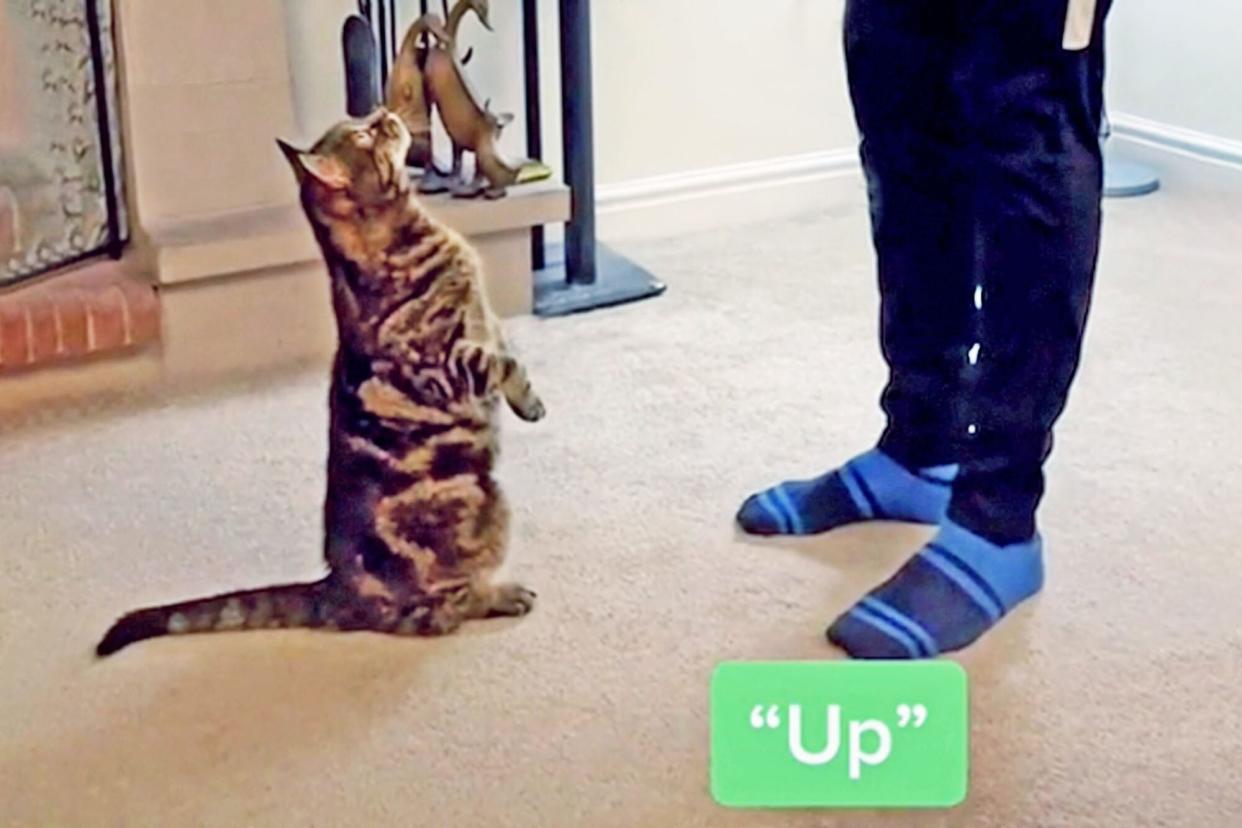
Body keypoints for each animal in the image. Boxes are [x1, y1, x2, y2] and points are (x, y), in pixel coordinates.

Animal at [96, 106, 543, 655]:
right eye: (366, 133)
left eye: (365, 118)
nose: (385, 110)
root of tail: (334, 589)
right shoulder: (442, 361)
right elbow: (503, 365)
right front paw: (530, 402)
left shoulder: (485, 320)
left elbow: (505, 344)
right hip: (486, 503)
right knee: (446, 608)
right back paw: (502, 594)